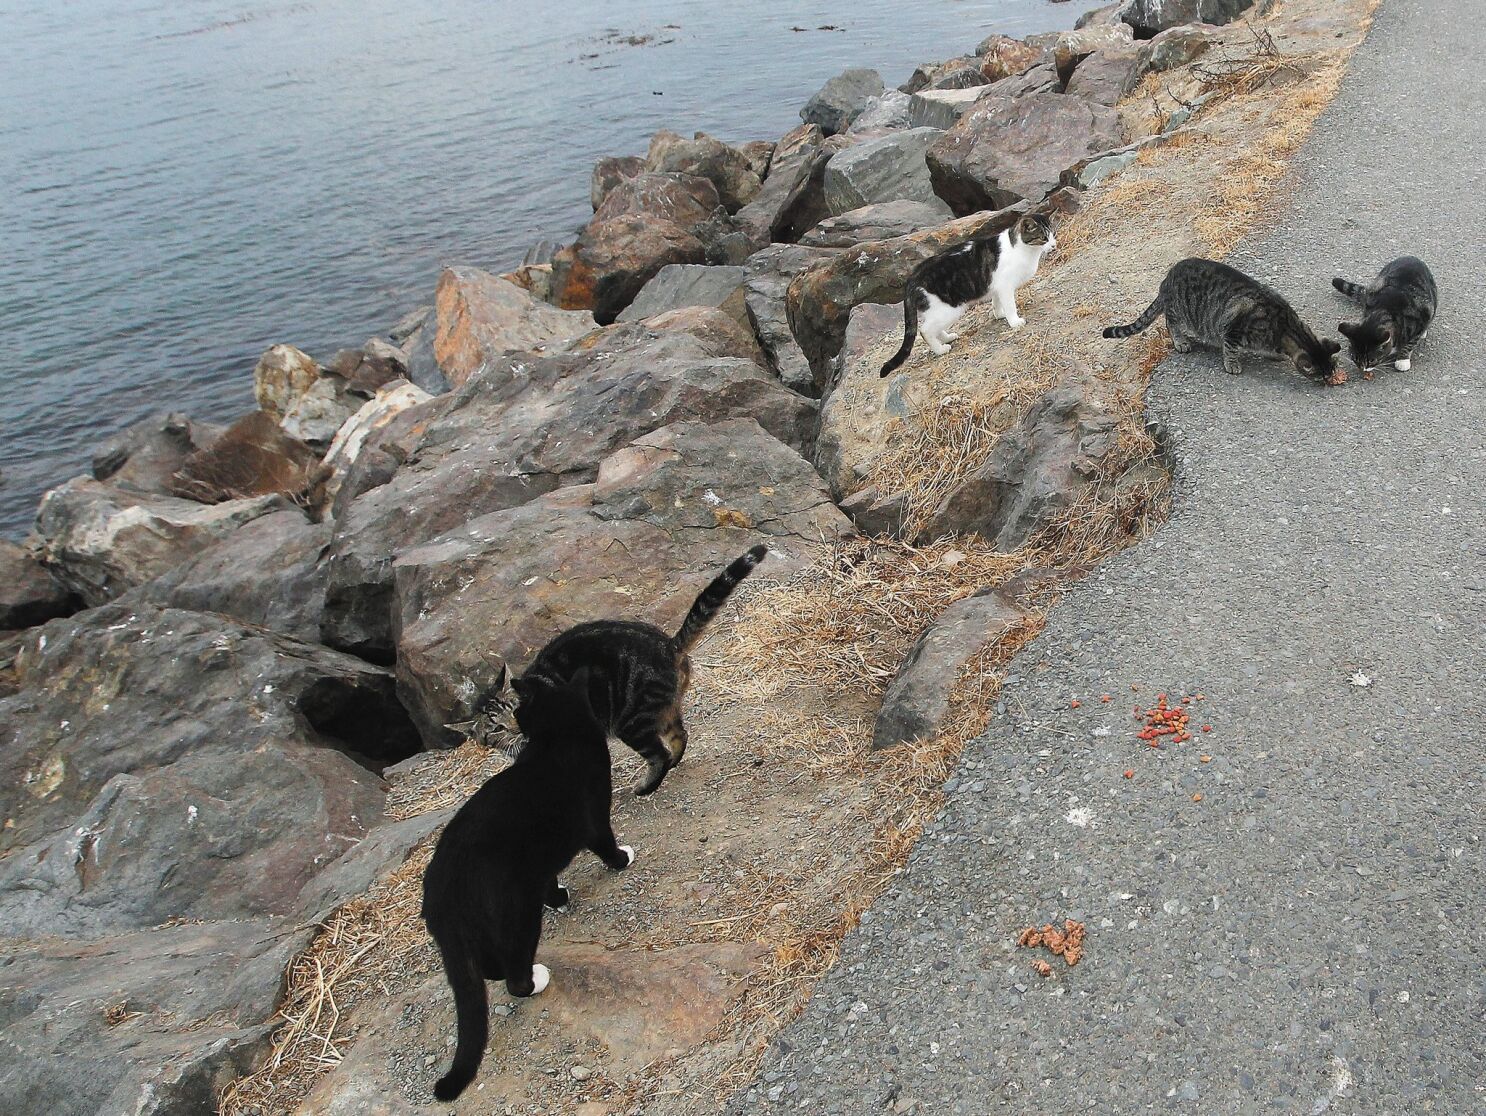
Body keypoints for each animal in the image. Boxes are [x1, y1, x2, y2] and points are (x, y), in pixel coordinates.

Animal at [422, 668, 630, 1105]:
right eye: (499, 726)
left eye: (515, 711)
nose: (517, 729)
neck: (556, 735)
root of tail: (441, 892)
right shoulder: (593, 817)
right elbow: (604, 842)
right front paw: (622, 858)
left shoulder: (543, 860)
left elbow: (550, 877)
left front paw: (559, 896)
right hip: (516, 911)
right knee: (513, 974)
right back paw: (535, 979)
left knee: (486, 966)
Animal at [457, 546, 772, 796]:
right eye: (497, 728)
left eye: (516, 709)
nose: (516, 728)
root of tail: (668, 644)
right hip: (660, 712)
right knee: (679, 736)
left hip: (631, 722)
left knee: (658, 754)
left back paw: (646, 787)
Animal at [1105, 257, 1349, 383]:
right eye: (1321, 375)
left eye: (1331, 371)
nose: (1329, 382)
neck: (1285, 325)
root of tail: (1166, 280)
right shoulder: (1234, 328)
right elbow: (1230, 349)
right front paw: (1232, 364)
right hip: (1179, 312)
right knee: (1170, 323)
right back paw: (1181, 341)